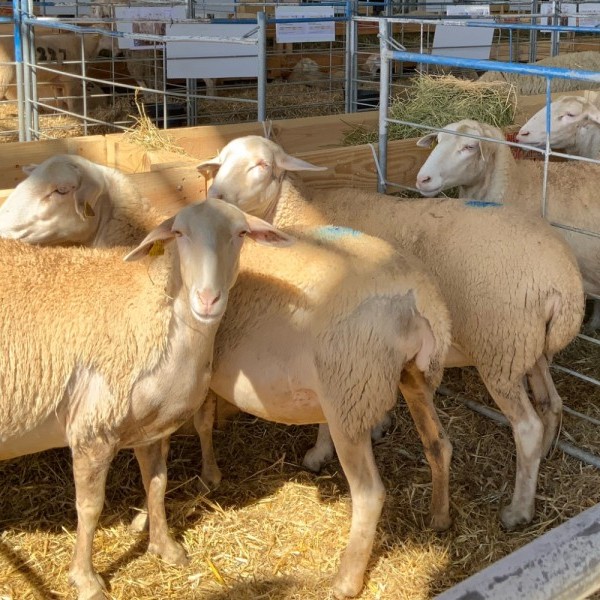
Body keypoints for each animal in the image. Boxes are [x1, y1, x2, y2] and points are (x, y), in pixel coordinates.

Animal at [0, 200, 290, 600]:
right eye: (179, 233)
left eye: (241, 233)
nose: (208, 300)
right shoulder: (93, 430)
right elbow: (90, 508)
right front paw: (86, 579)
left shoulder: (149, 429)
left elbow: (157, 484)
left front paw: (165, 547)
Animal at [199, 134, 584, 528]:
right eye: (220, 161)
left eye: (261, 165)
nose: (215, 195)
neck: (298, 212)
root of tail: (566, 280)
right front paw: (380, 425)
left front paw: (319, 452)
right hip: (529, 346)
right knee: (552, 402)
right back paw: (546, 459)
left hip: (500, 347)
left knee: (527, 428)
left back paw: (518, 509)